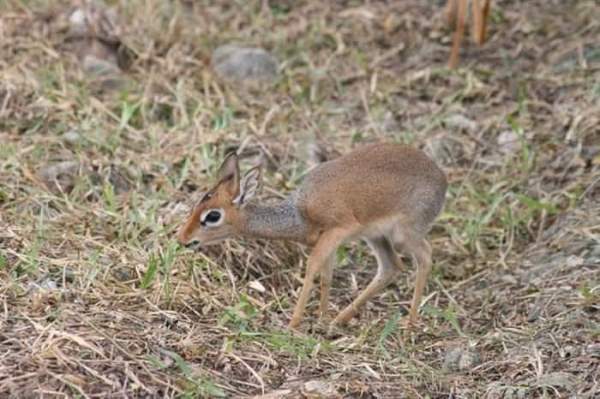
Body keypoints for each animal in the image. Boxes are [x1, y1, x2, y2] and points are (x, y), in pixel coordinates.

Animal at [176, 144, 448, 328]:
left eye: (212, 216)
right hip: (376, 237)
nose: (183, 239)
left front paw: (294, 322)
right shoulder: (331, 240)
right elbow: (326, 275)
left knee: (425, 257)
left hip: (404, 234)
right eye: (195, 206)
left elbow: (311, 268)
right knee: (391, 266)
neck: (300, 213)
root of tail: (442, 179)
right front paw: (322, 317)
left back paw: (410, 323)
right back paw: (340, 319)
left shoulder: (337, 231)